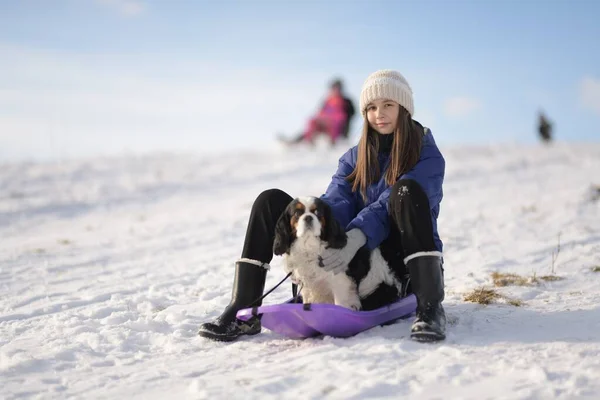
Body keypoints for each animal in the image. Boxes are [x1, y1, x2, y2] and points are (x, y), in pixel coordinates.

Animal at [274, 195, 408, 310]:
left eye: (317, 212)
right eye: (297, 213)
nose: (308, 217)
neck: (309, 246)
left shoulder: (341, 284)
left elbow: (341, 306)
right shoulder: (308, 289)